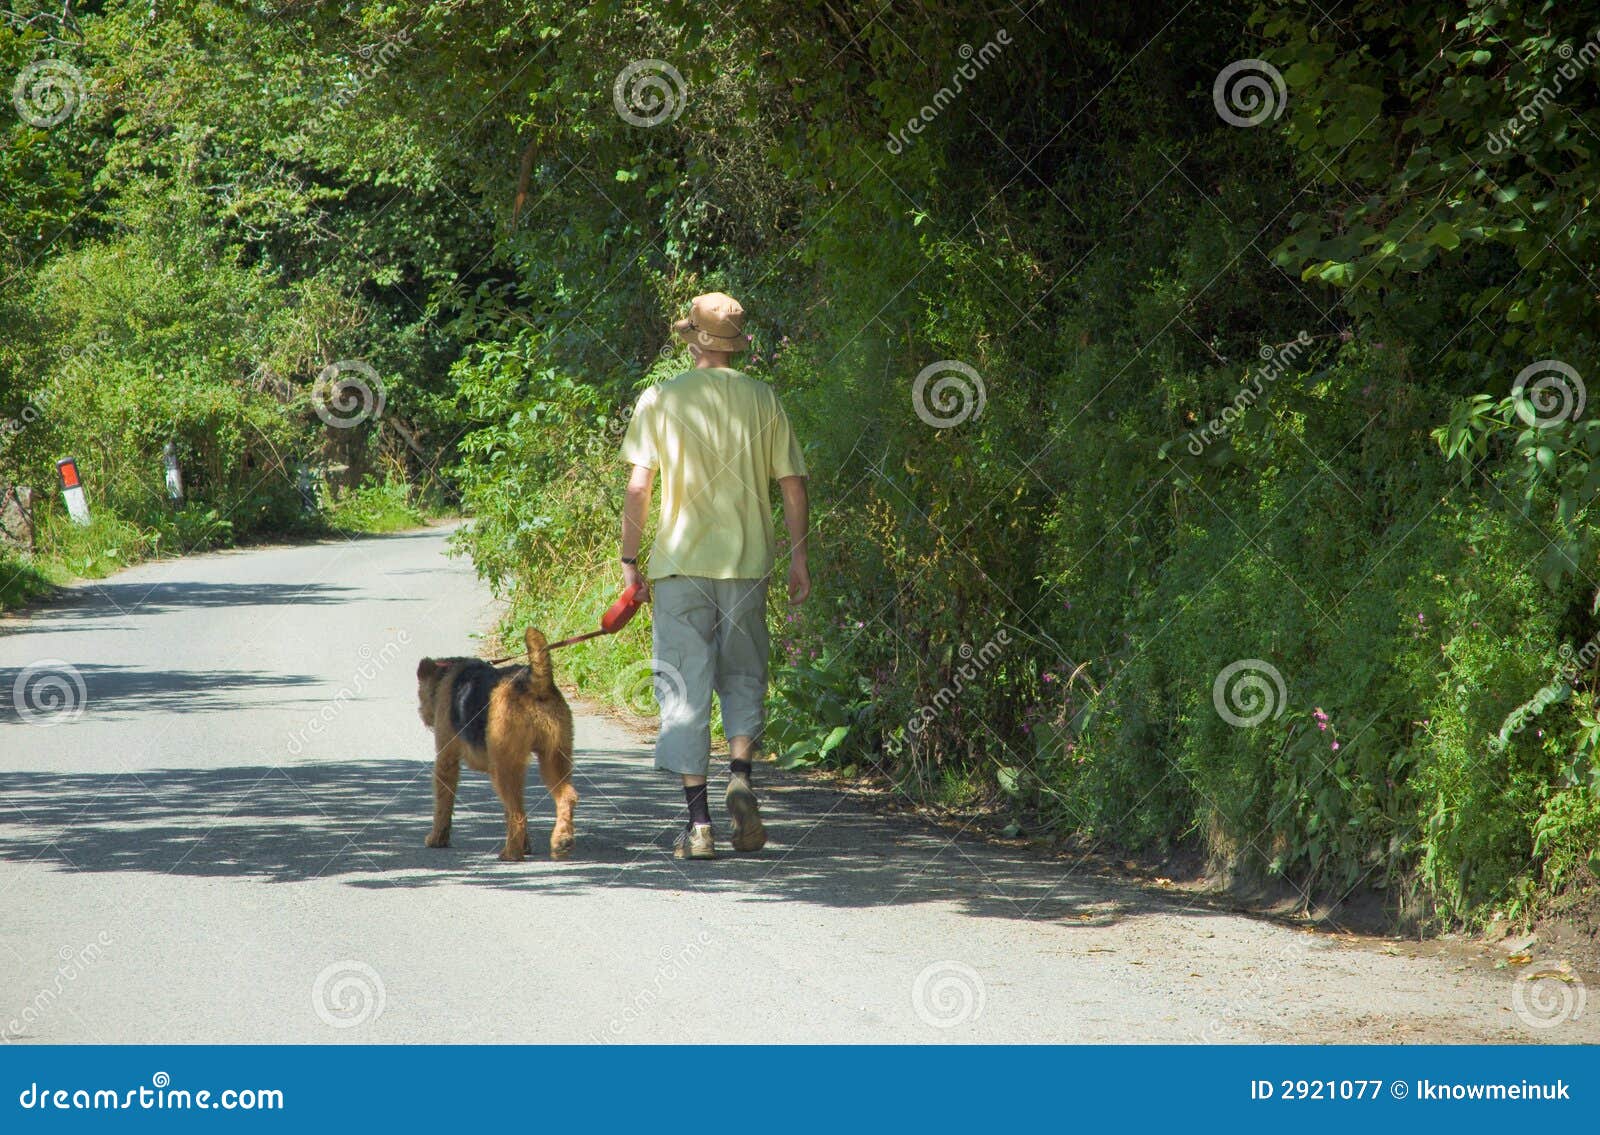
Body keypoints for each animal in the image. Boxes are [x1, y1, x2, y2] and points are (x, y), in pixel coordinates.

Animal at [416, 627, 579, 858]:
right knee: (566, 797)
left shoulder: (446, 758)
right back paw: (561, 842)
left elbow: (443, 803)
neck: (446, 675)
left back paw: (511, 854)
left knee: (518, 813)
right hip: (553, 757)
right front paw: (527, 845)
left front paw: (436, 839)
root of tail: (536, 684)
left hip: (503, 766)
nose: (423, 715)